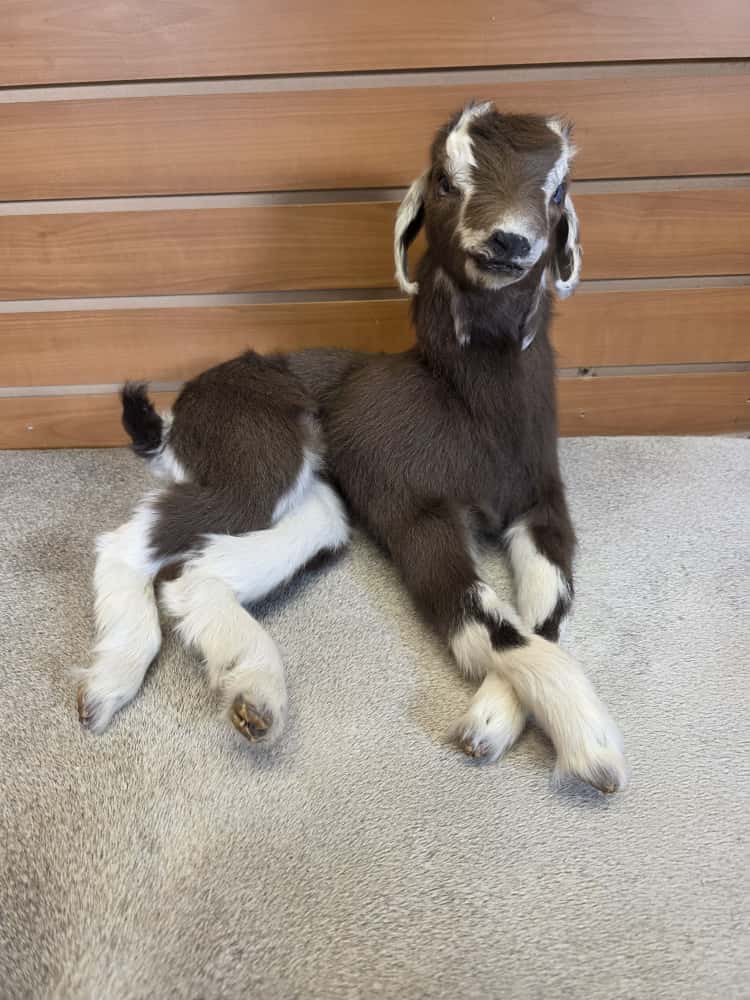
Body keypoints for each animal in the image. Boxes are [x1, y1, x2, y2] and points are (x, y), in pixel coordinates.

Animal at [76, 104, 627, 794]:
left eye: (557, 190)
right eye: (445, 180)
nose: (509, 242)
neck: (467, 414)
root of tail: (178, 416)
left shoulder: (543, 504)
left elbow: (550, 611)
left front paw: (492, 723)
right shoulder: (412, 507)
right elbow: (487, 619)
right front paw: (591, 745)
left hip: (318, 507)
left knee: (192, 573)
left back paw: (254, 696)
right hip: (257, 460)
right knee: (125, 543)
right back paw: (109, 687)